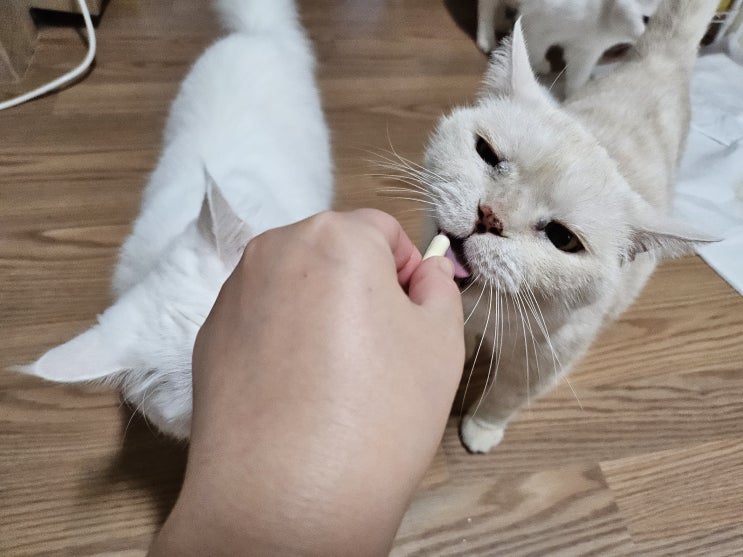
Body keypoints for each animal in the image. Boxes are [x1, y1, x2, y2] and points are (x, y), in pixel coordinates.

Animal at [476, 0, 662, 97]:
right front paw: (537, 67)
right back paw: (486, 39)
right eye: (647, 19)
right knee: (485, 5)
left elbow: (577, 80)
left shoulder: (585, 52)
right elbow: (532, 49)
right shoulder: (537, 24)